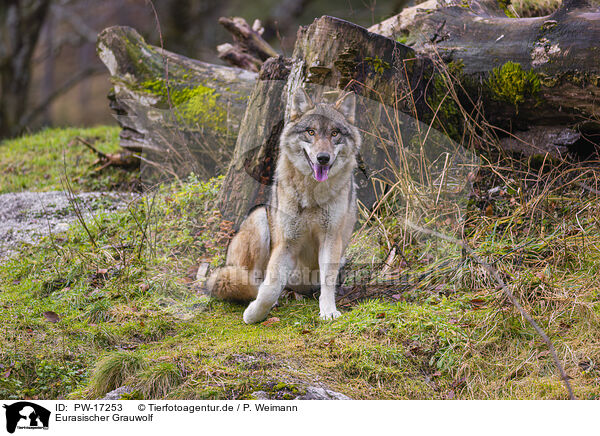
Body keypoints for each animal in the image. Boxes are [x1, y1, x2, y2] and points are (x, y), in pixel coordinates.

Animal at [206, 87, 360, 322]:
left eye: (335, 134)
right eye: (311, 132)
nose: (323, 158)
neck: (312, 193)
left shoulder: (331, 238)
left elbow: (328, 282)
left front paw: (328, 311)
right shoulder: (287, 243)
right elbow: (269, 288)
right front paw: (253, 315)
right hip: (260, 218)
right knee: (248, 281)